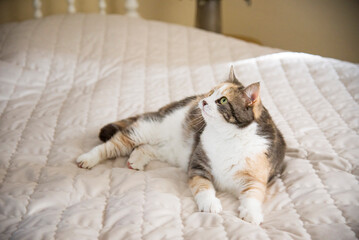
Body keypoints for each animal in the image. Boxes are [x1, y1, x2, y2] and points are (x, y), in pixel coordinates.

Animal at [76, 66, 286, 225]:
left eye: (223, 100)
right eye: (211, 92)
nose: (203, 101)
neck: (228, 136)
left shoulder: (257, 176)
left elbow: (253, 195)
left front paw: (251, 214)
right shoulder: (198, 165)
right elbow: (204, 187)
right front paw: (210, 204)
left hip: (171, 151)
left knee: (146, 148)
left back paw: (135, 160)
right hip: (147, 130)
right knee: (112, 144)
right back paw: (88, 159)